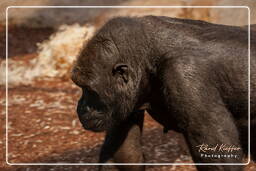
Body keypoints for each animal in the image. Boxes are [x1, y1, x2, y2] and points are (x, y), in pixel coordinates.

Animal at [71, 15, 255, 170]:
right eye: (80, 86)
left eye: (90, 90)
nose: (82, 106)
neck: (148, 58)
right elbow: (123, 157)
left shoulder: (182, 74)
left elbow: (217, 153)